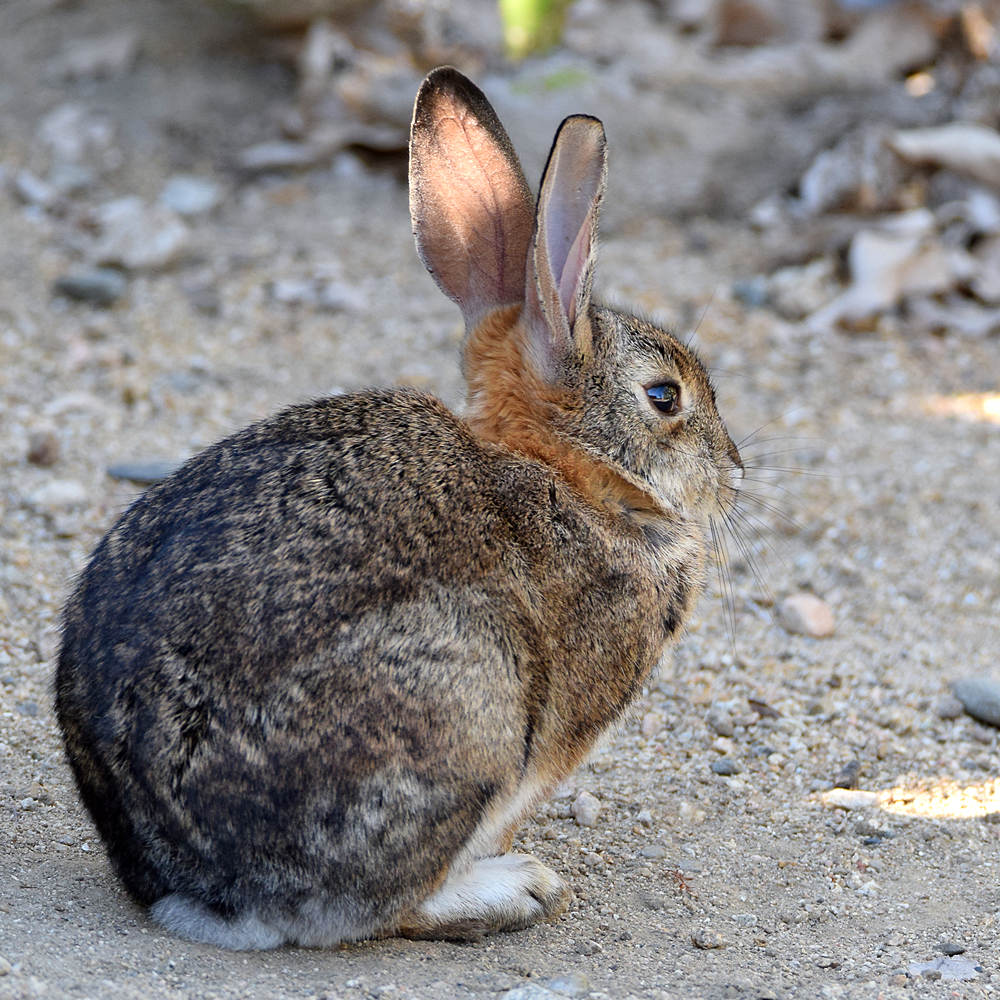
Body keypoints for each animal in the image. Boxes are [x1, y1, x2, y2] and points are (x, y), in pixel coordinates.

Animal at [55, 66, 743, 950]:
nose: (734, 471)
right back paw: (516, 888)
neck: (566, 471)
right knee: (391, 903)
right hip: (470, 702)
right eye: (666, 398)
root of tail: (198, 885)